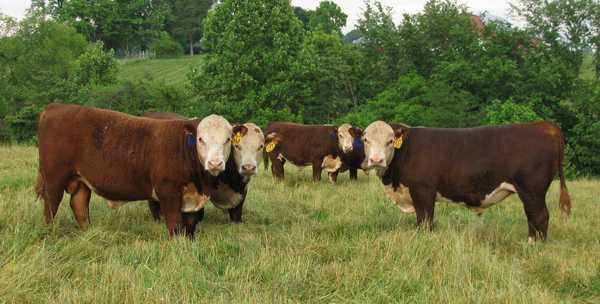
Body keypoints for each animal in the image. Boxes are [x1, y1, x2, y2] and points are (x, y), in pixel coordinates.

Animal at [34, 103, 233, 239]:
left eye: (228, 139)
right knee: (51, 205)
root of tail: (54, 107)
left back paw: (87, 232)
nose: (215, 163)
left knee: (79, 204)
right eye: (200, 139)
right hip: (54, 178)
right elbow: (175, 224)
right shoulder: (168, 191)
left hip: (80, 179)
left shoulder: (191, 199)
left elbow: (190, 226)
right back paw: (49, 232)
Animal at [364, 121, 568, 242]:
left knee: (539, 216)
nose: (376, 160)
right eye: (366, 139)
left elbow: (425, 220)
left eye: (390, 141)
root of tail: (545, 125)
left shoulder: (423, 190)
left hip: (532, 190)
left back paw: (533, 245)